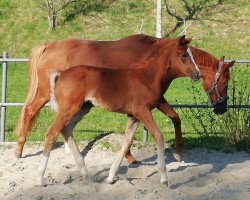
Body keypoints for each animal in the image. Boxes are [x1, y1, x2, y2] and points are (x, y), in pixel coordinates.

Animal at [36, 36, 199, 186]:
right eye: (184, 54)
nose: (197, 74)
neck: (147, 77)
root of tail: (60, 74)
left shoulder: (135, 115)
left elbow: (127, 141)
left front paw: (111, 177)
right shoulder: (142, 111)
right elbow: (158, 135)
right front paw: (164, 178)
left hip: (83, 108)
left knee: (67, 129)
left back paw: (85, 173)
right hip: (68, 108)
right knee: (52, 133)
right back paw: (40, 178)